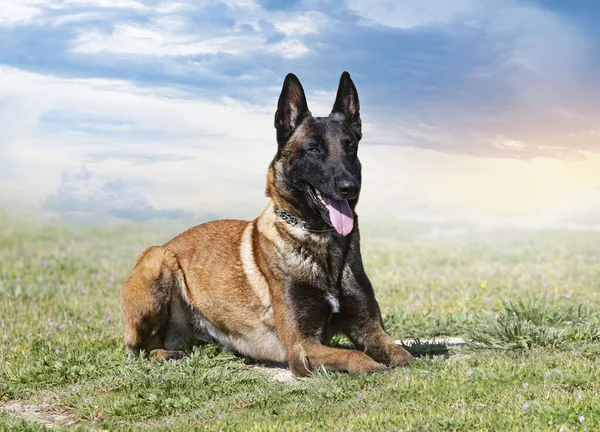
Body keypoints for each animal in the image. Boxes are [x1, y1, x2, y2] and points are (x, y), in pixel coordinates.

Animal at [120, 71, 414, 374]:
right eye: (314, 149)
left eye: (351, 147)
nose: (349, 187)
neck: (319, 239)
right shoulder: (302, 346)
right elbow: (356, 356)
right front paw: (374, 366)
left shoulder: (370, 330)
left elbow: (404, 357)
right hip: (157, 259)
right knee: (140, 349)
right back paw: (168, 355)